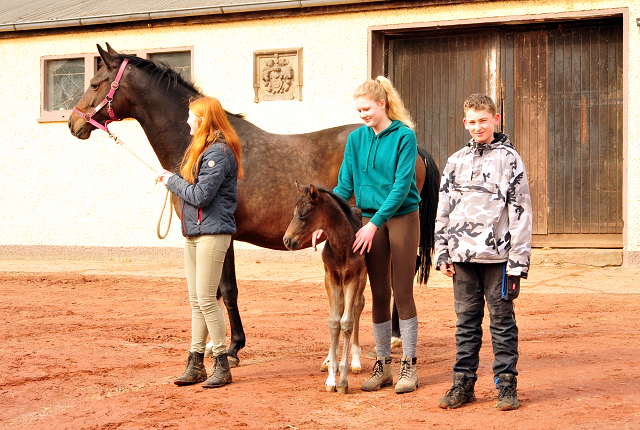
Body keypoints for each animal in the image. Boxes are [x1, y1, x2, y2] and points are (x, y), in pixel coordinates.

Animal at [70, 43, 440, 364]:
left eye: (94, 83)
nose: (74, 123)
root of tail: (414, 144)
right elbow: (216, 292)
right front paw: (213, 346)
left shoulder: (222, 235)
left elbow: (226, 290)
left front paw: (232, 348)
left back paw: (392, 337)